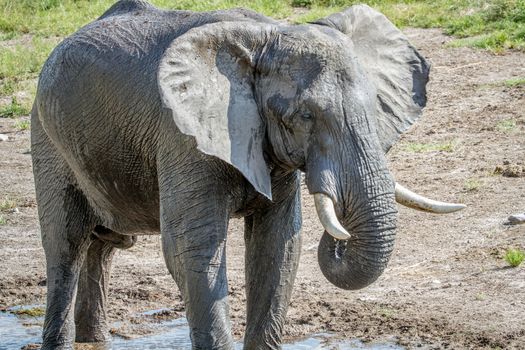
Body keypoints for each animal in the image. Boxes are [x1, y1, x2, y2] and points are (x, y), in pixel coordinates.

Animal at [30, 1, 462, 348]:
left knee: (103, 246)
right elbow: (192, 246)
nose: (339, 238)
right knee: (67, 245)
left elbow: (278, 245)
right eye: (304, 116)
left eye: (374, 106)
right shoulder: (183, 136)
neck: (269, 36)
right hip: (46, 137)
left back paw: (93, 338)